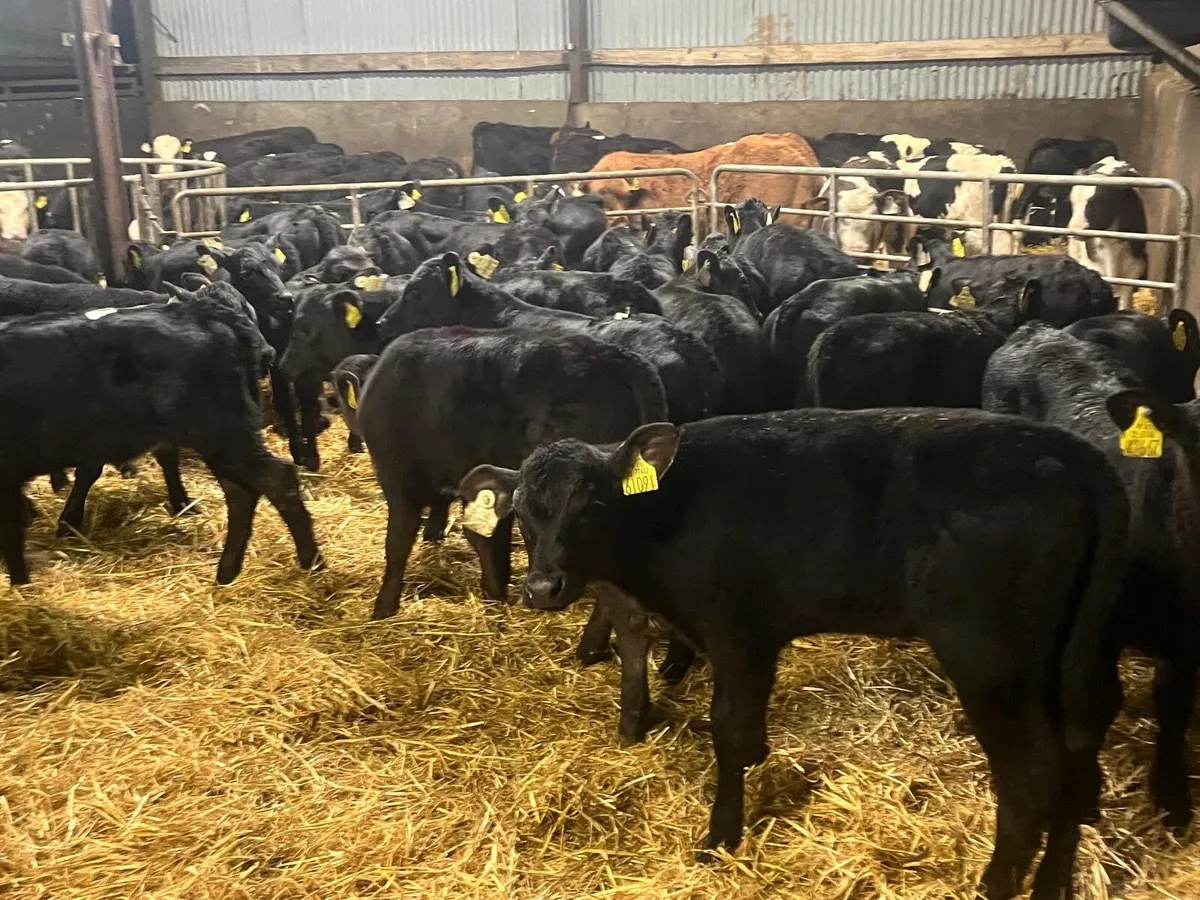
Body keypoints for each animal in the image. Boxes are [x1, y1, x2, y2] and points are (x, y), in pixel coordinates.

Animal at [0, 281, 320, 585]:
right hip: (219, 435)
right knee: (241, 490)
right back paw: (227, 572)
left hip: (222, 430)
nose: (268, 354)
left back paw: (311, 562)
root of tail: (204, 316)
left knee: (275, 479)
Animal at [456, 408, 1127, 899]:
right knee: (1076, 766)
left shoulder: (738, 633)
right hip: (1069, 661)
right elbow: (750, 738)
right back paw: (1050, 885)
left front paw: (720, 837)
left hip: (991, 660)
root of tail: (1076, 455)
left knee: (1032, 773)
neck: (665, 513)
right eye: (524, 513)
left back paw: (996, 883)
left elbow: (729, 732)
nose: (543, 587)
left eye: (593, 504)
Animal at [983, 323, 1200, 829]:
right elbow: (1099, 700)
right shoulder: (1100, 626)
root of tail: (1035, 329)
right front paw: (1082, 795)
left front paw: (1172, 795)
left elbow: (1174, 703)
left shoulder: (1186, 639)